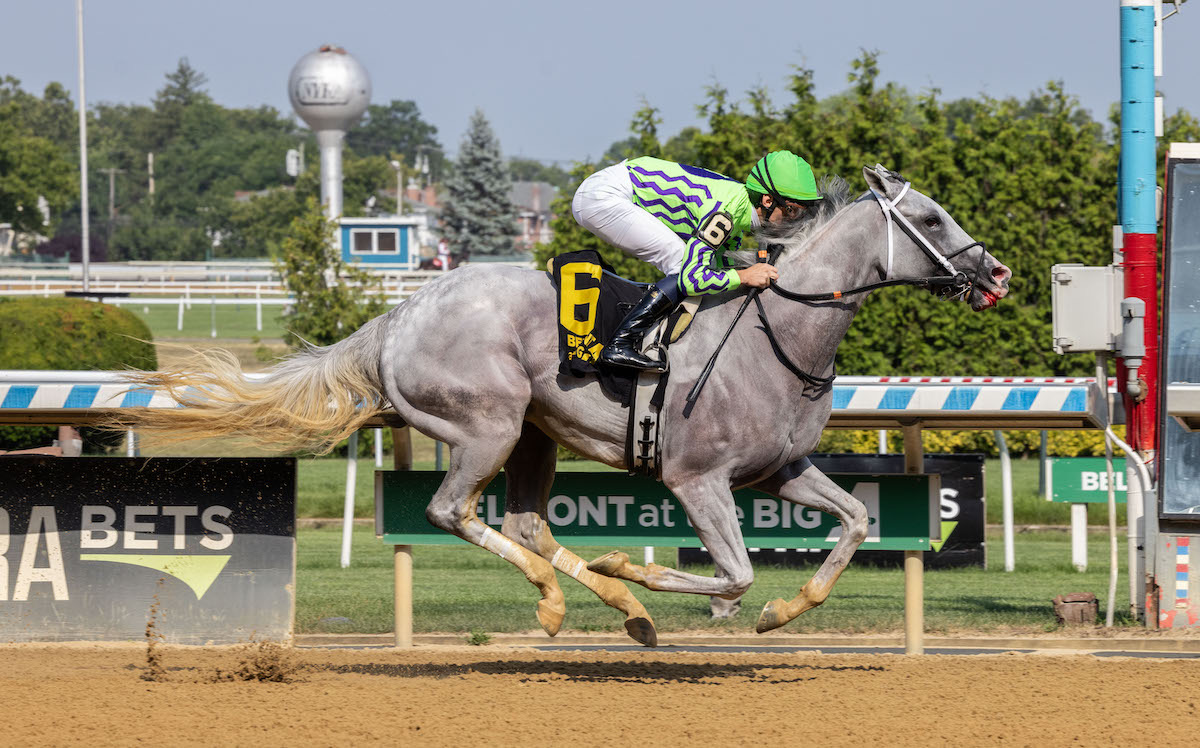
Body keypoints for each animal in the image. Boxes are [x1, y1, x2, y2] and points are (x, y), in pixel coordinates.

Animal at [126, 166, 1012, 648]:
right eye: (930, 218)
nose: (995, 272)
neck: (777, 332)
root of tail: (397, 316)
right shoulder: (696, 478)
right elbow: (732, 572)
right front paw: (642, 568)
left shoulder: (780, 470)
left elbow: (854, 522)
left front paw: (782, 612)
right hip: (485, 425)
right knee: (453, 512)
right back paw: (575, 599)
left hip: (534, 436)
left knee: (525, 525)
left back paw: (620, 611)